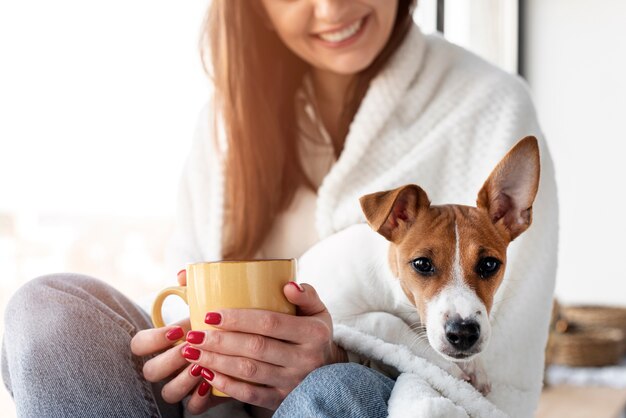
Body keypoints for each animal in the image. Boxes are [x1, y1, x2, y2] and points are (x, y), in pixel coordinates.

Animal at [296, 135, 536, 396]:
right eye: (422, 263)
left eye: (489, 264)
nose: (463, 333)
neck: (393, 290)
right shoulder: (336, 313)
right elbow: (386, 321)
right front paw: (447, 367)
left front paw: (475, 366)